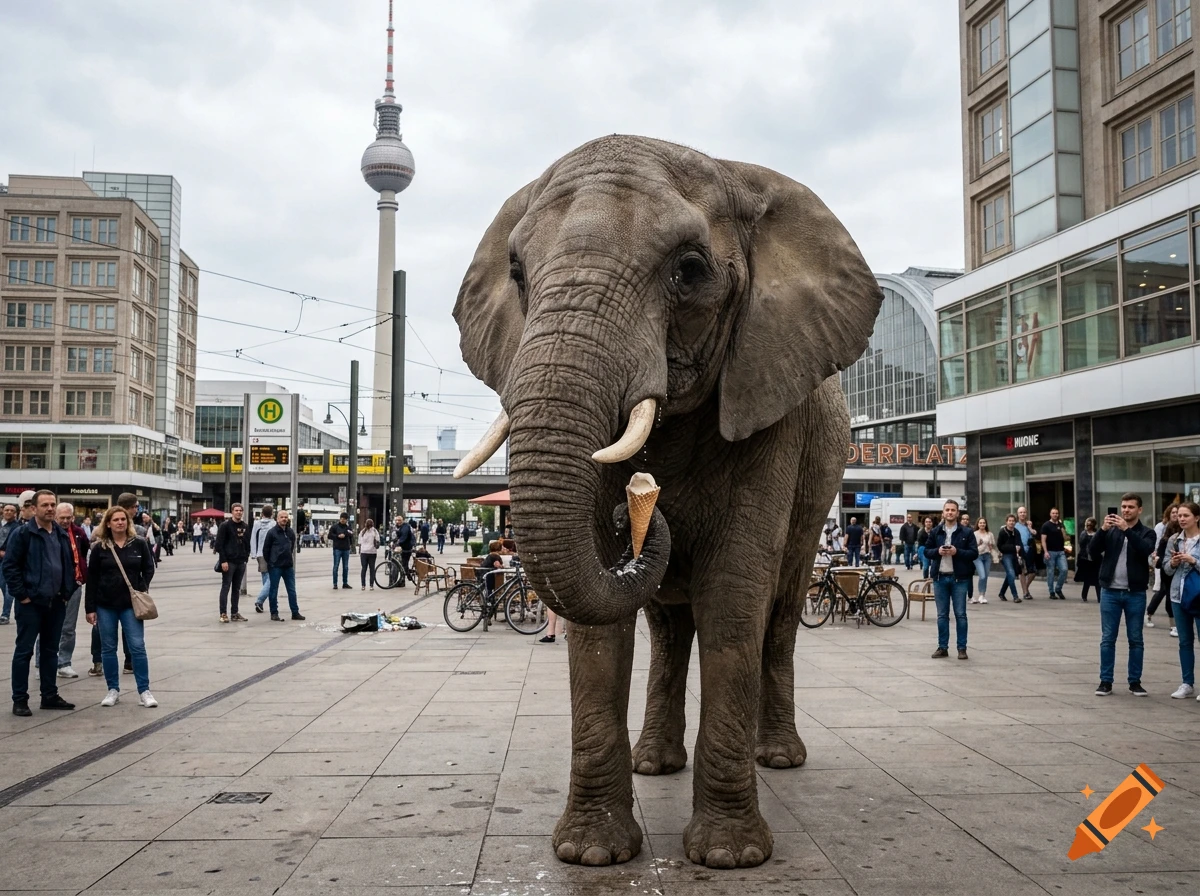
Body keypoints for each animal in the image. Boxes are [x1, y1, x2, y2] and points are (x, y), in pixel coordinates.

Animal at [452, 135, 881, 869]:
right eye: (516, 270)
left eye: (690, 270)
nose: (644, 507)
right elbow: (599, 626)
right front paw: (591, 854)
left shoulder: (771, 397)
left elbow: (734, 598)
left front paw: (731, 856)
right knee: (670, 628)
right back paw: (655, 764)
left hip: (820, 485)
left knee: (779, 614)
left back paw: (779, 758)